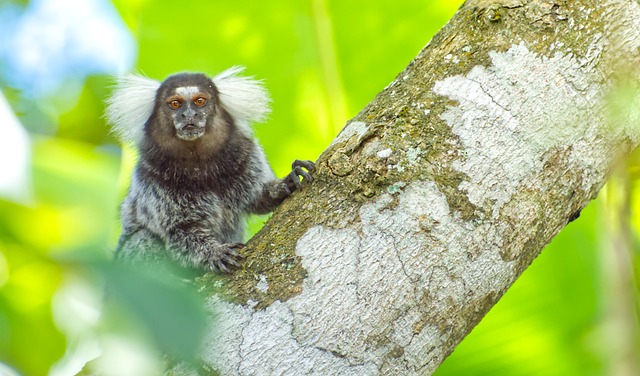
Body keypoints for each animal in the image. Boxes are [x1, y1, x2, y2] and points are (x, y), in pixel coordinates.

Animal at [107, 67, 316, 272]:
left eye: (200, 101)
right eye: (175, 104)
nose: (189, 115)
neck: (199, 164)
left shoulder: (245, 156)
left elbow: (258, 198)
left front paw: (285, 183)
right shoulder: (151, 177)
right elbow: (181, 232)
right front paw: (214, 253)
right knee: (142, 239)